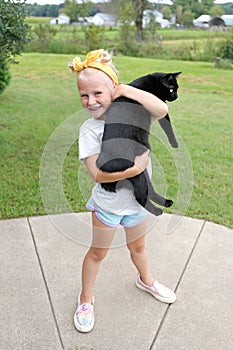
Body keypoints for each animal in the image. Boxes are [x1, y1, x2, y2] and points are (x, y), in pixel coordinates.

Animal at [95, 71, 181, 216]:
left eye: (177, 89)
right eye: (171, 89)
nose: (176, 96)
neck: (150, 83)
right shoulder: (160, 106)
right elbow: (168, 125)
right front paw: (175, 144)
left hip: (141, 171)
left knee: (150, 191)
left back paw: (166, 202)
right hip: (136, 173)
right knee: (141, 196)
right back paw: (157, 210)